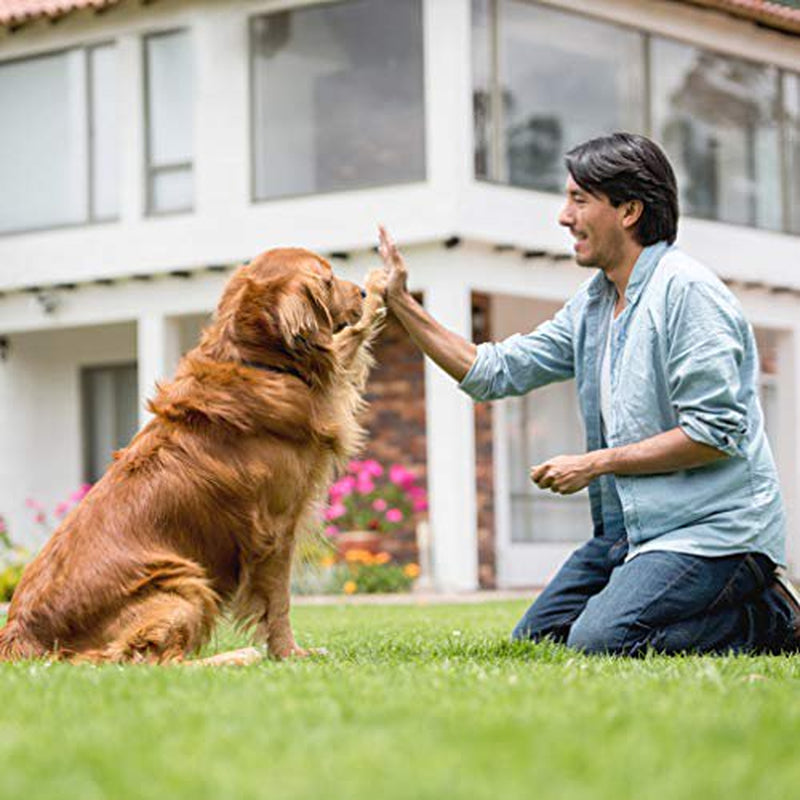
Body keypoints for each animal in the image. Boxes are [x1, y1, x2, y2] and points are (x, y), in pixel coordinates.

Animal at [0, 247, 388, 664]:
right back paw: (238, 657)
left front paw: (382, 286)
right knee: (152, 661)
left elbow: (347, 341)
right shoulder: (276, 527)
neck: (257, 361)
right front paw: (289, 653)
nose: (361, 292)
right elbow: (279, 602)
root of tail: (18, 634)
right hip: (182, 581)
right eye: (328, 281)